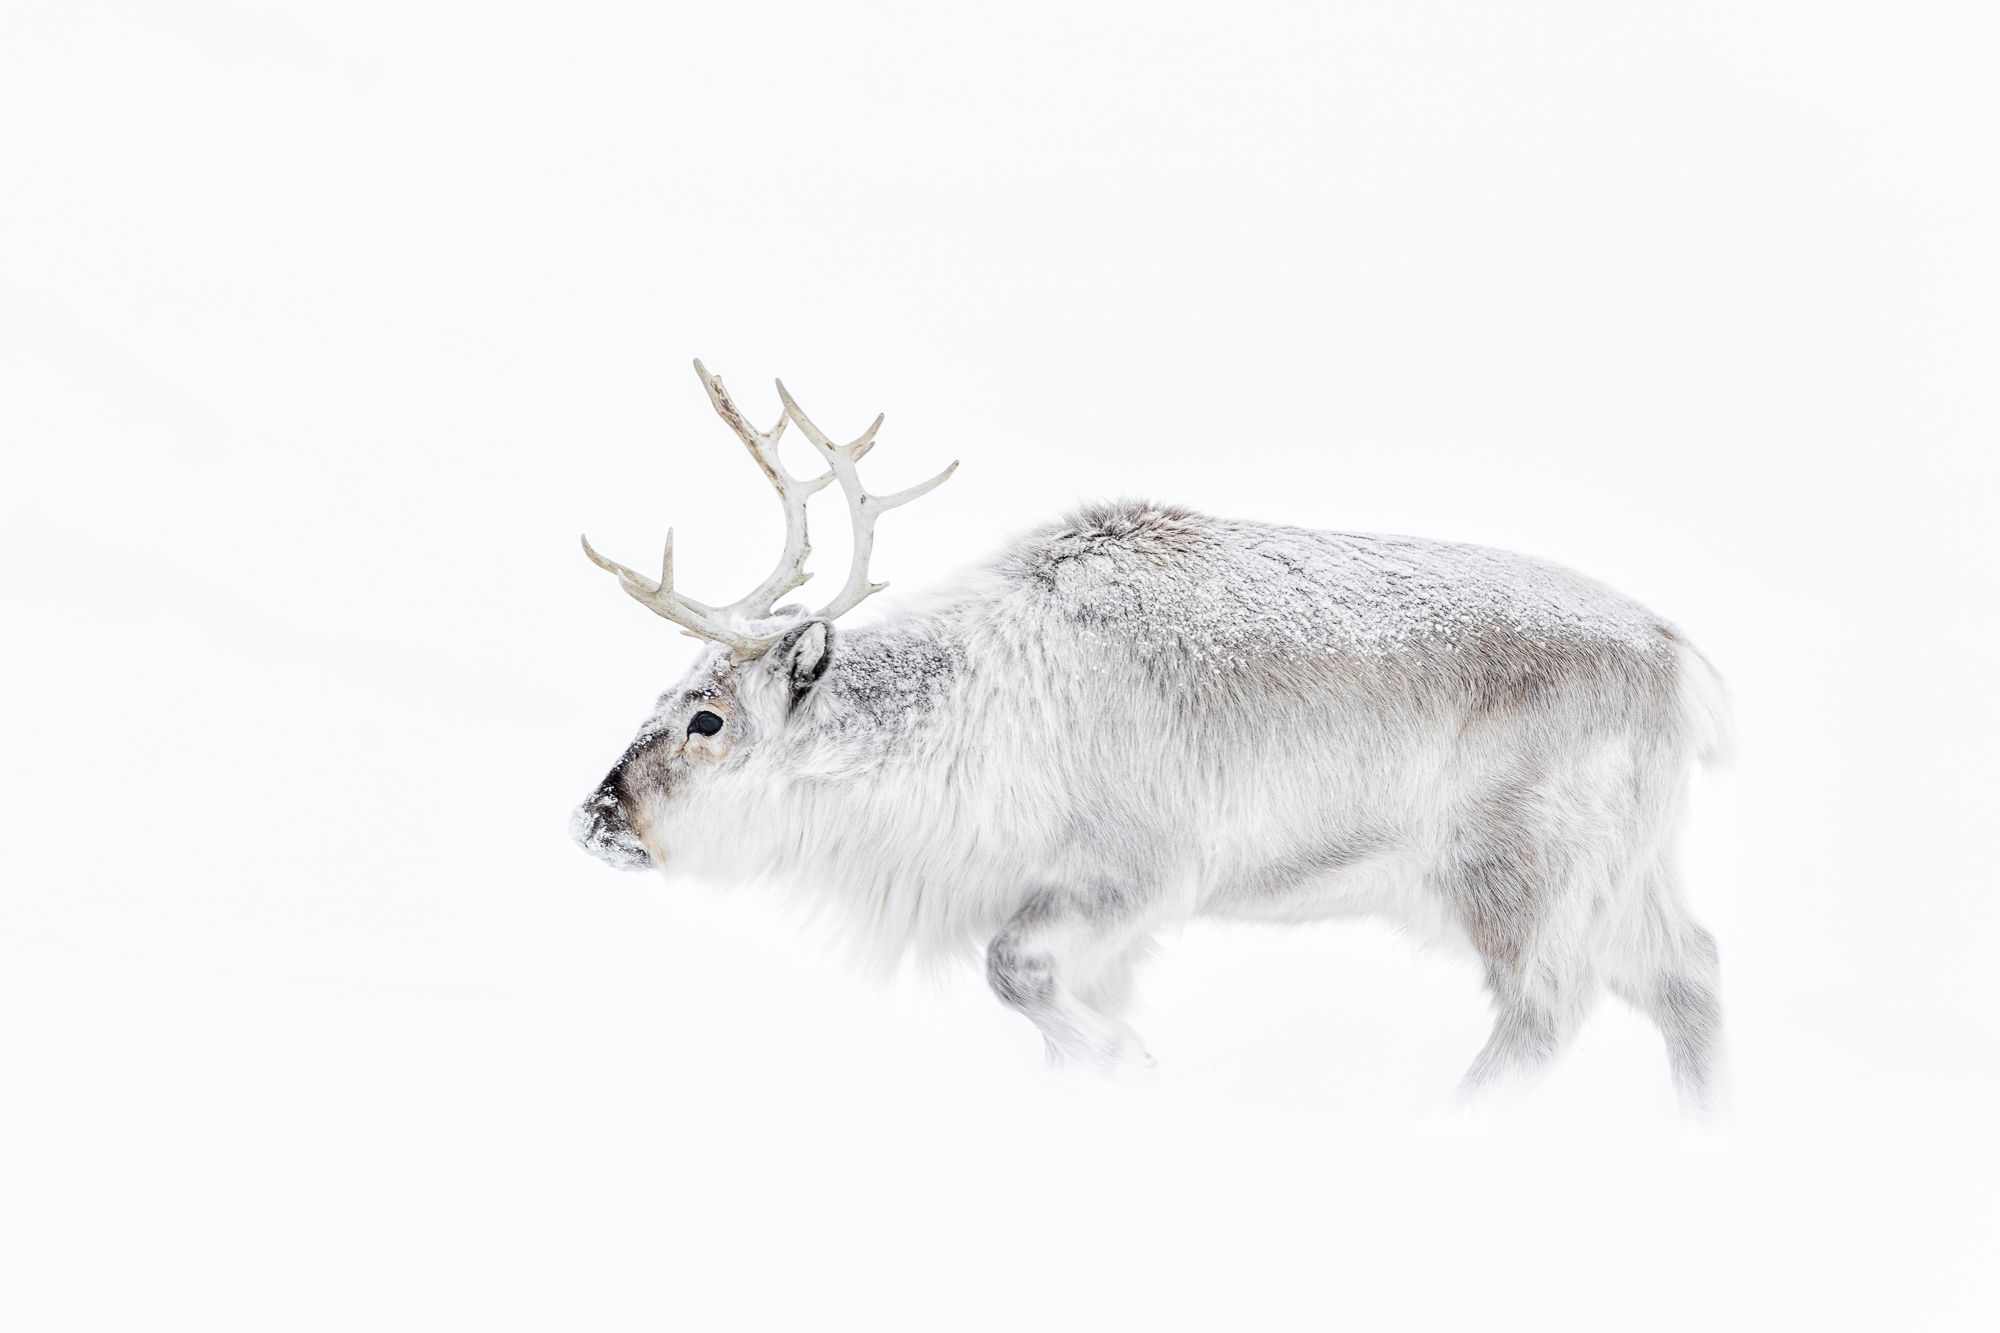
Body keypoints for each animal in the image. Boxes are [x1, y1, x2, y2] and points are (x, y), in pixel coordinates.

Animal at [572, 362, 1730, 1115]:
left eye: (707, 716)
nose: (595, 816)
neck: (964, 732)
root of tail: (1685, 667)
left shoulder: (1130, 875)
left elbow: (1010, 972)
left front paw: (1134, 1063)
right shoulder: (1104, 927)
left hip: (1520, 868)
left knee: (1546, 1011)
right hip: (1626, 872)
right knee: (1692, 976)